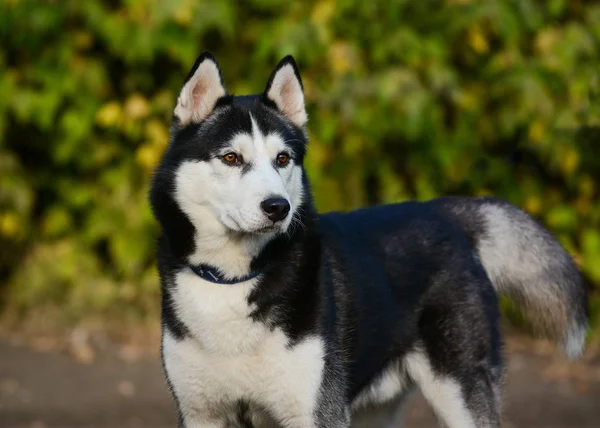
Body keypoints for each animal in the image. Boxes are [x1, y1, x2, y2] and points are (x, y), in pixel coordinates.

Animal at [148, 53, 588, 428]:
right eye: (231, 158)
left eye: (282, 159)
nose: (278, 207)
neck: (233, 279)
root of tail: (444, 213)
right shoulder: (200, 413)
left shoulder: (316, 412)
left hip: (460, 393)